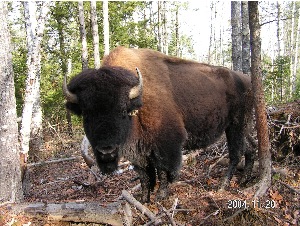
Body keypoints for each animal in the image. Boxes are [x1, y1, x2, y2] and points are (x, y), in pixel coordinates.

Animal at [62, 46, 253, 202]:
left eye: (122, 111)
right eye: (86, 114)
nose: (106, 151)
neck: (137, 102)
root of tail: (247, 80)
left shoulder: (165, 144)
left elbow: (163, 170)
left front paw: (161, 196)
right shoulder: (138, 151)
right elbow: (144, 175)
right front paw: (144, 199)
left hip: (235, 125)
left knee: (236, 153)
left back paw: (222, 185)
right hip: (241, 126)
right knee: (250, 147)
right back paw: (245, 180)